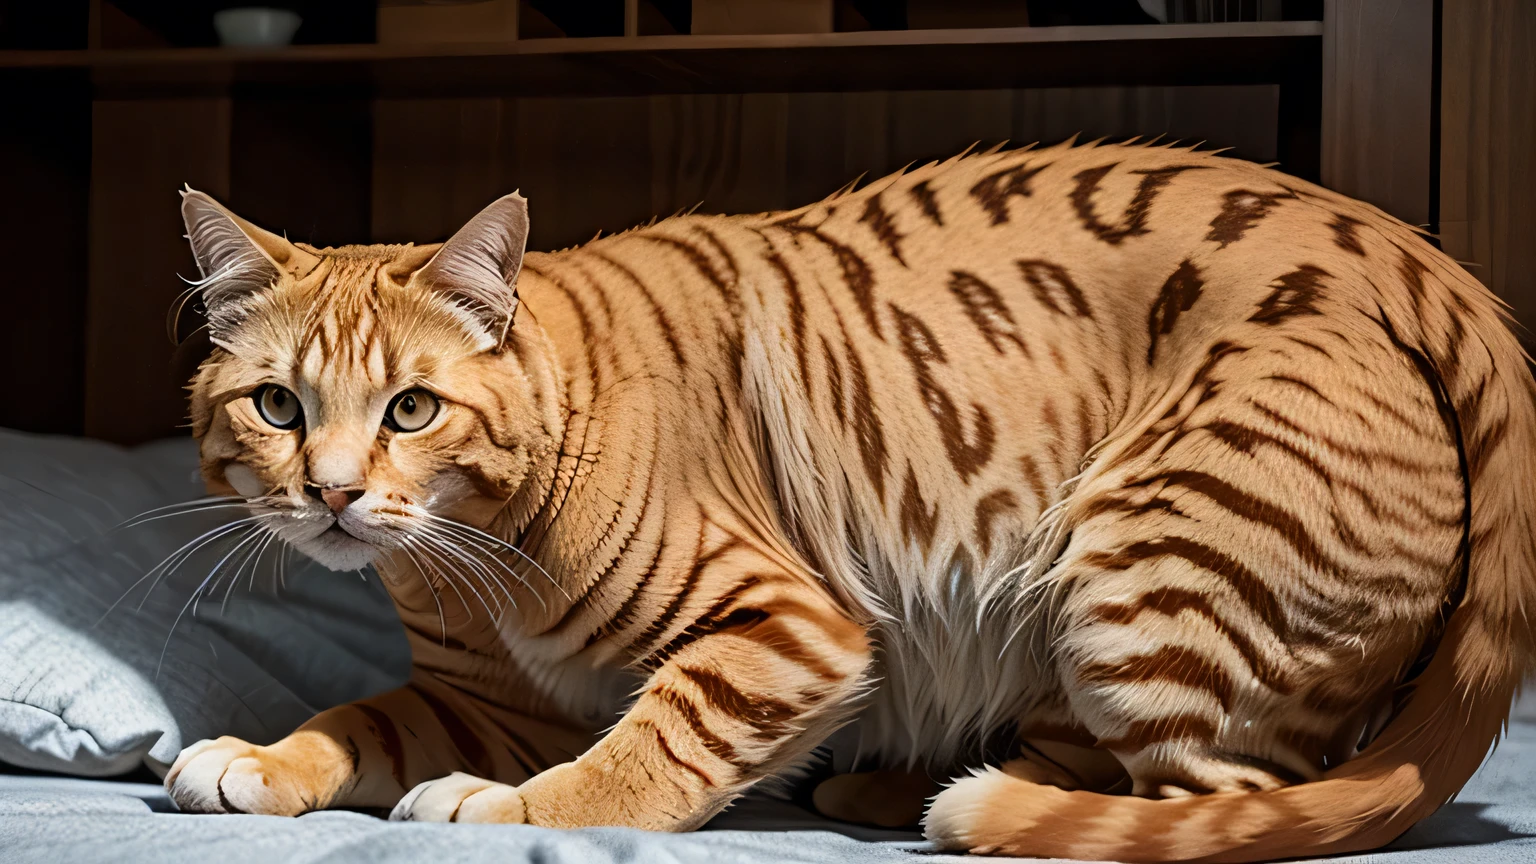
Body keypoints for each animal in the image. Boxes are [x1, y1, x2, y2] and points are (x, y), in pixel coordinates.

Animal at [165, 137, 1536, 854]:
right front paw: (260, 758)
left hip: (1145, 564)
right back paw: (899, 791)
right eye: (279, 406)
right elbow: (360, 720)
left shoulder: (789, 630)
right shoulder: (486, 700)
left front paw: (501, 807)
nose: (333, 495)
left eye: (411, 409)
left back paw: (979, 813)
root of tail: (1409, 255)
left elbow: (635, 760)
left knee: (1225, 809)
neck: (472, 559)